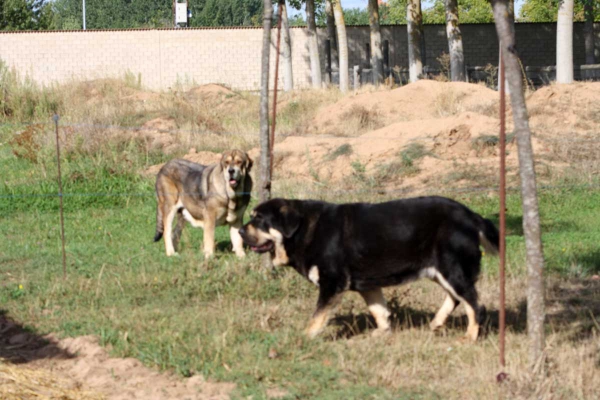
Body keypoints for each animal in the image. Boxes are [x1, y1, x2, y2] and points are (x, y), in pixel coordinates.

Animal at [237, 197, 500, 340]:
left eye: (259, 219)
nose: (239, 230)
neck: (303, 230)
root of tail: (472, 215)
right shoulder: (368, 285)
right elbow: (379, 311)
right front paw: (383, 332)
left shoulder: (332, 283)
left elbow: (317, 317)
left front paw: (304, 337)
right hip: (440, 271)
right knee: (456, 299)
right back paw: (436, 323)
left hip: (452, 269)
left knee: (475, 305)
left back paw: (470, 336)